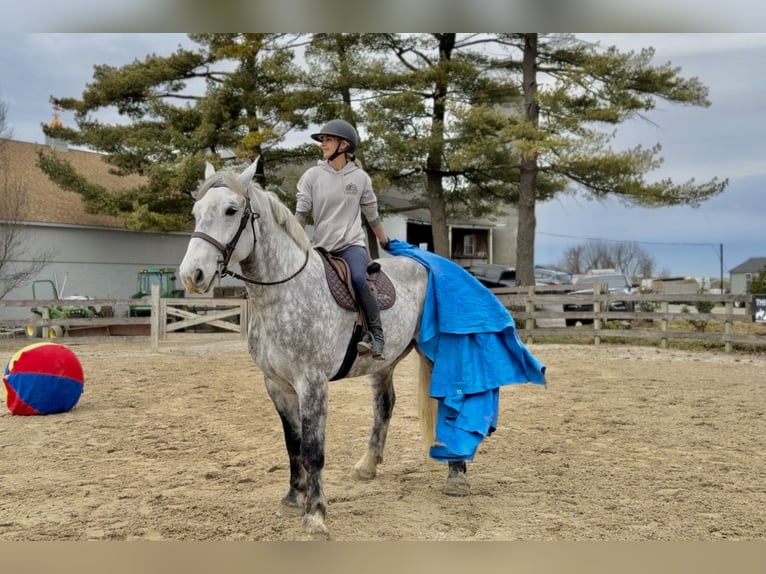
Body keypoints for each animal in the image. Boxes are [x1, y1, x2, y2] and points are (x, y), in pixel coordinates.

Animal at [179, 161, 470, 539]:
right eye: (197, 212)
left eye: (230, 210)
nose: (192, 275)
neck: (286, 291)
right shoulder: (277, 385)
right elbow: (293, 446)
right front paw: (292, 499)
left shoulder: (312, 383)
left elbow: (313, 451)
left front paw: (315, 515)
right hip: (384, 362)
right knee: (384, 405)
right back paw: (367, 465)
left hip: (433, 353)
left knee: (446, 404)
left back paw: (456, 474)